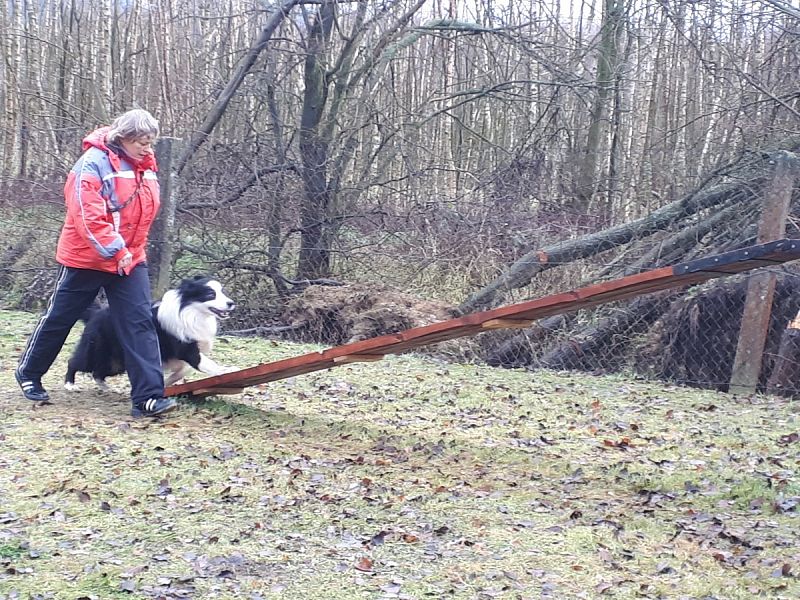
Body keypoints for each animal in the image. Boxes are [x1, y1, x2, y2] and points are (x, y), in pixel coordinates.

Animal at [64, 276, 239, 392]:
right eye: (210, 294)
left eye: (222, 292)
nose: (231, 303)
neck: (192, 311)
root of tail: (96, 313)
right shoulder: (186, 350)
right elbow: (208, 364)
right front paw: (227, 370)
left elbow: (184, 370)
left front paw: (166, 383)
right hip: (95, 350)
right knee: (75, 362)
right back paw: (70, 385)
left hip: (115, 362)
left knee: (98, 373)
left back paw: (106, 387)